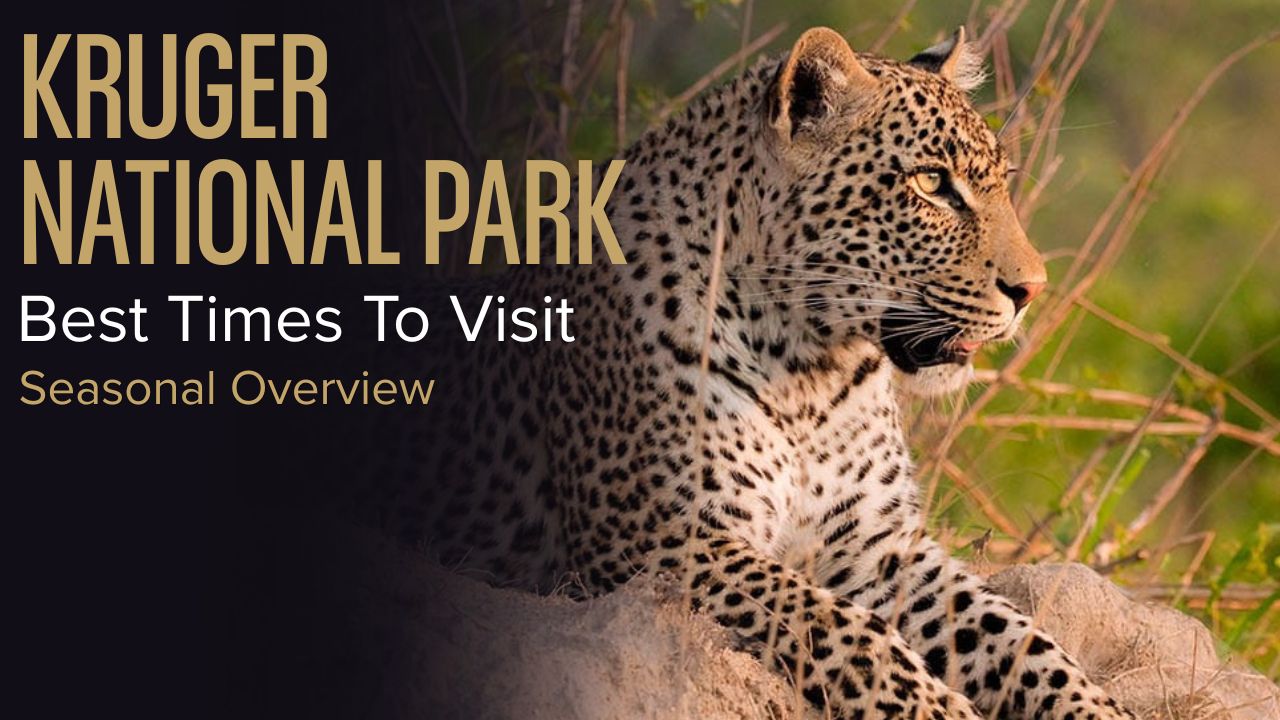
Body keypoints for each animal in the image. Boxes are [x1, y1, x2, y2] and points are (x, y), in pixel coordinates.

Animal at [357, 26, 1137, 720]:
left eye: (999, 184)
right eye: (930, 184)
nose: (1032, 290)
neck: (813, 370)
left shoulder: (878, 546)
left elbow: (1019, 638)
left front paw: (1097, 709)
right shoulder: (663, 541)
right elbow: (841, 630)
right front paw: (940, 711)